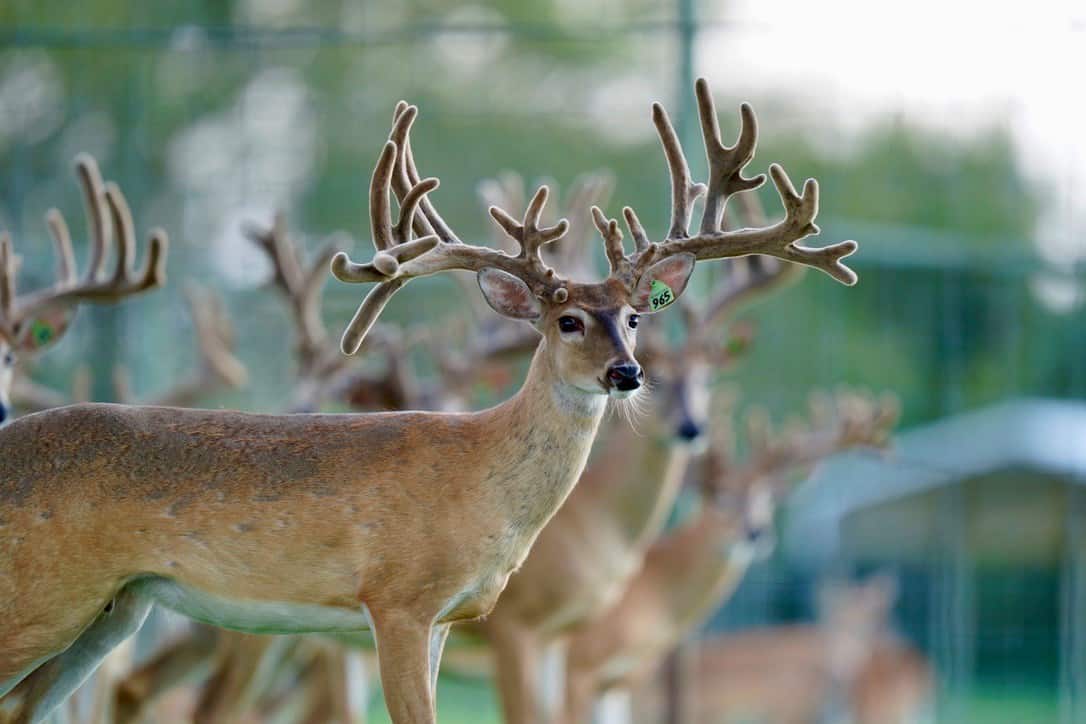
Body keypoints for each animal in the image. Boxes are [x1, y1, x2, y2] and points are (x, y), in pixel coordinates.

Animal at [0, 77, 858, 724]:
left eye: (636, 317)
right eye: (567, 319)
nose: (627, 375)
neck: (482, 480)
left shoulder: (452, 620)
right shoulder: (404, 601)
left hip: (117, 610)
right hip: (50, 595)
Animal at [558, 391, 899, 724]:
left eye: (766, 498)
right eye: (722, 498)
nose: (756, 531)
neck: (652, 592)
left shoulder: (617, 678)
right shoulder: (583, 663)